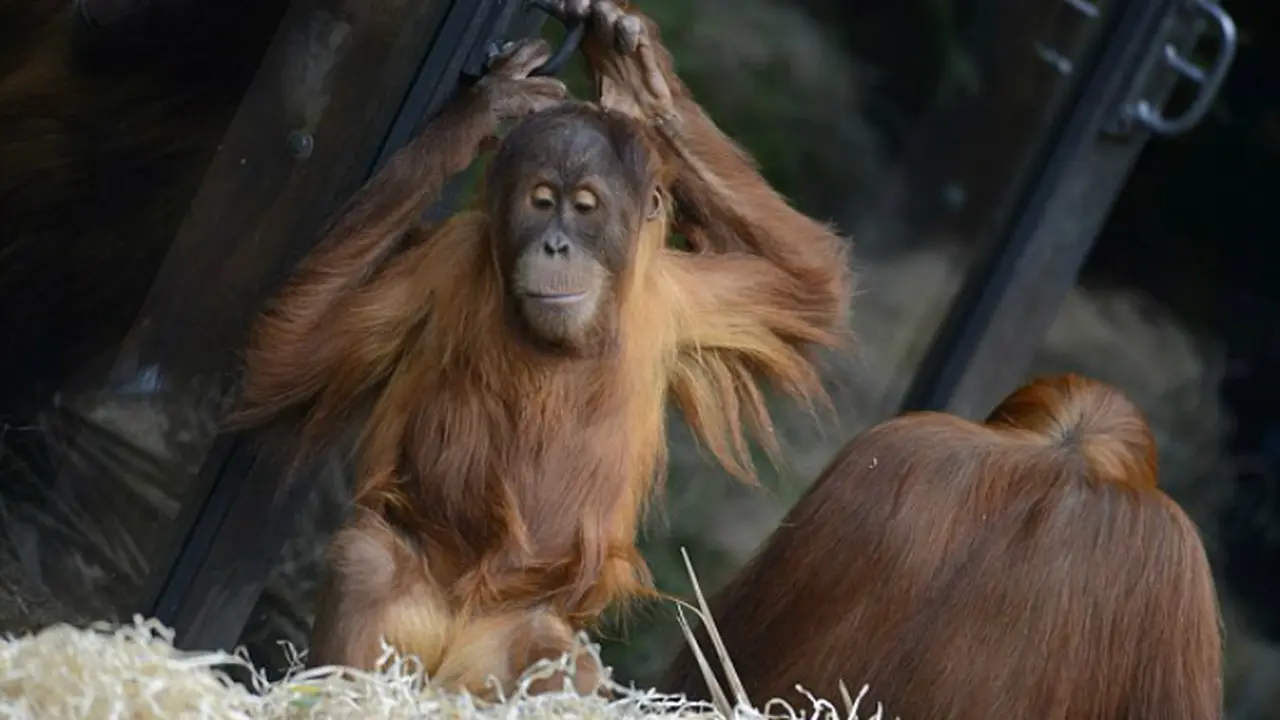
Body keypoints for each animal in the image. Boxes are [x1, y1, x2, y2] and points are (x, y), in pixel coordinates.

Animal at [228, 1, 853, 699]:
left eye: (584, 208)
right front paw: (486, 108)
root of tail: (458, 636)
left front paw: (639, 81)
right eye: (541, 202)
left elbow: (811, 288)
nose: (556, 244)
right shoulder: (443, 263)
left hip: (509, 640)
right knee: (368, 560)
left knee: (564, 661)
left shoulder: (683, 298)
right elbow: (287, 357)